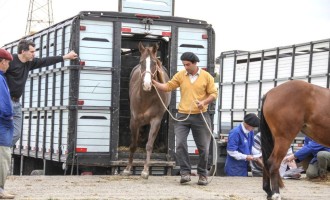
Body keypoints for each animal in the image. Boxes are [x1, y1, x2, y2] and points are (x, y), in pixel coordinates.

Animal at [122, 41, 171, 178]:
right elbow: (133, 145)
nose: (147, 84)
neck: (146, 98)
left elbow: (149, 145)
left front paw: (145, 170)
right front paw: (127, 168)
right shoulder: (134, 121)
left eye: (154, 62)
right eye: (141, 62)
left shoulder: (156, 121)